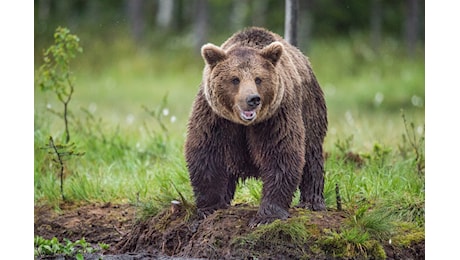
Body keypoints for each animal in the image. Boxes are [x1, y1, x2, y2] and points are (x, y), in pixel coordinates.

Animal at [183, 25, 328, 226]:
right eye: (235, 79)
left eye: (258, 79)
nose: (253, 99)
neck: (243, 123)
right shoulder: (215, 117)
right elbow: (206, 152)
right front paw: (210, 207)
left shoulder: (276, 117)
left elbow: (281, 154)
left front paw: (266, 216)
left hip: (310, 109)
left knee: (312, 155)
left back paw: (312, 202)